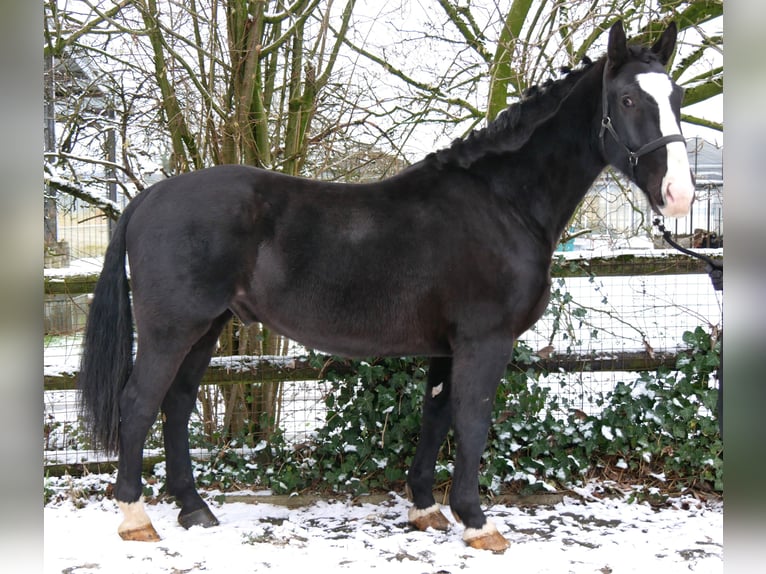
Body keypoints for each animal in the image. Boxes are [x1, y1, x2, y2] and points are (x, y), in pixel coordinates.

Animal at [78, 20, 693, 552]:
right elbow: (472, 421)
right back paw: (136, 518)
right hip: (172, 329)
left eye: (678, 96)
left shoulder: (449, 346)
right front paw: (478, 523)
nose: (680, 194)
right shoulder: (485, 341)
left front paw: (426, 508)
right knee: (139, 403)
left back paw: (194, 509)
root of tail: (148, 197)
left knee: (176, 404)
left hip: (208, 327)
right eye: (628, 100)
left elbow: (436, 416)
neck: (502, 202)